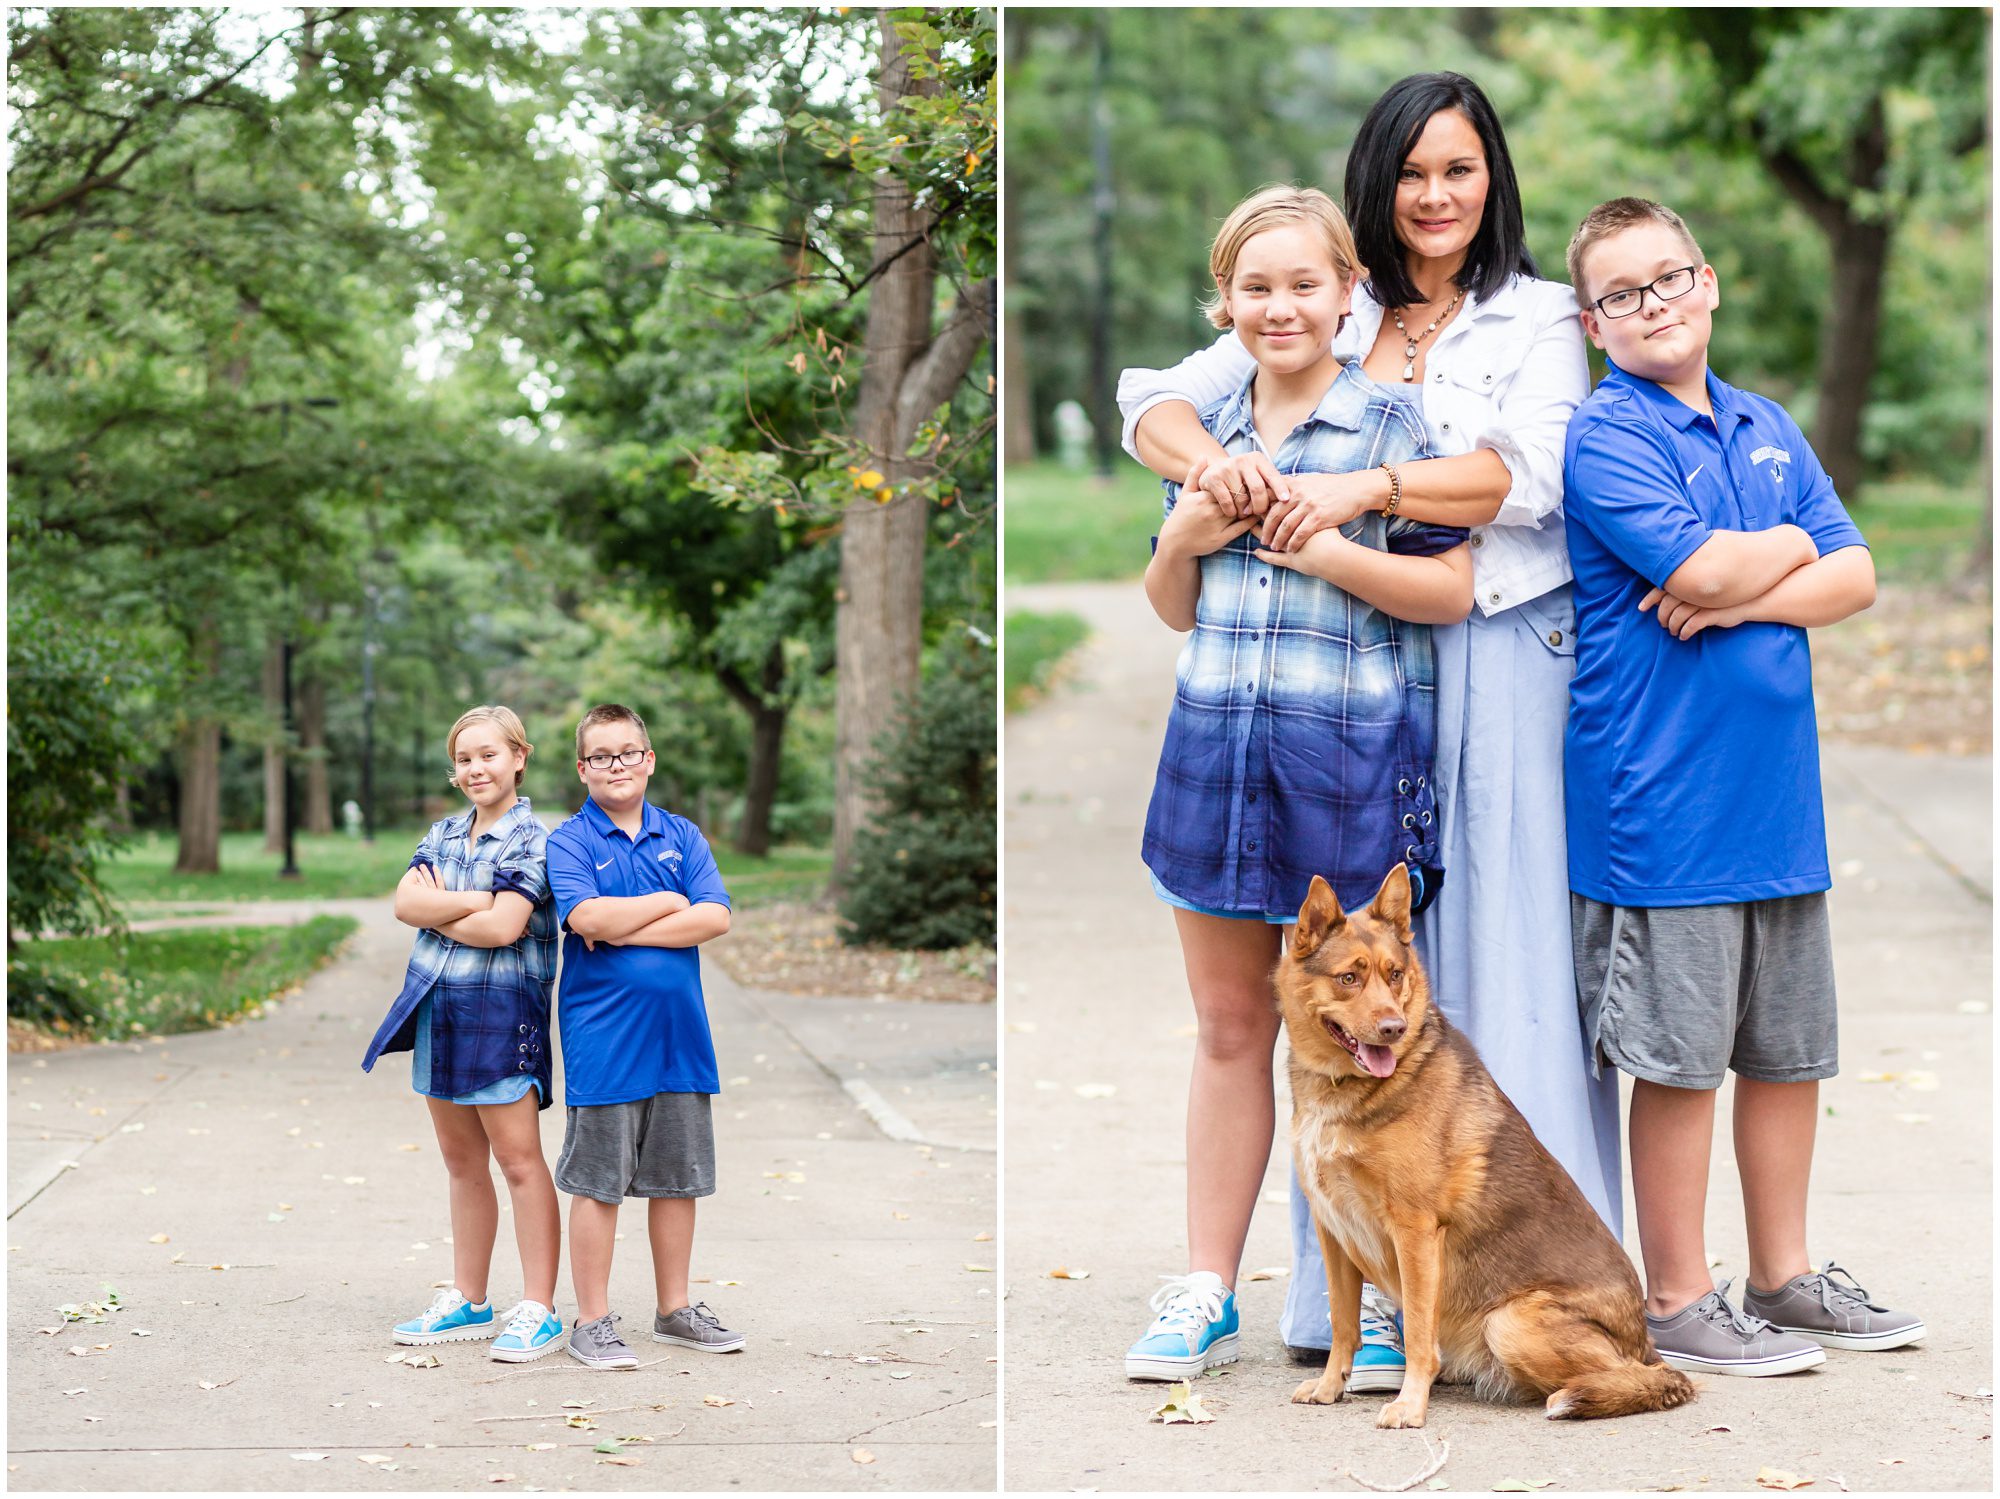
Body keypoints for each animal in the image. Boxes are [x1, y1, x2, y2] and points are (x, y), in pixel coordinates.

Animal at [1280, 863, 1688, 1423]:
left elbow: (1420, 1332)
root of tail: (1645, 1341)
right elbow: (1342, 1324)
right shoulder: (1333, 1231)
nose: (1394, 1028)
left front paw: (1411, 1405)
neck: (1350, 1087)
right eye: (1348, 978)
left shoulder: (1414, 1231)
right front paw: (1329, 1386)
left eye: (1394, 974)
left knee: (1638, 1377)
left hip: (1510, 1322)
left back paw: (1575, 1394)